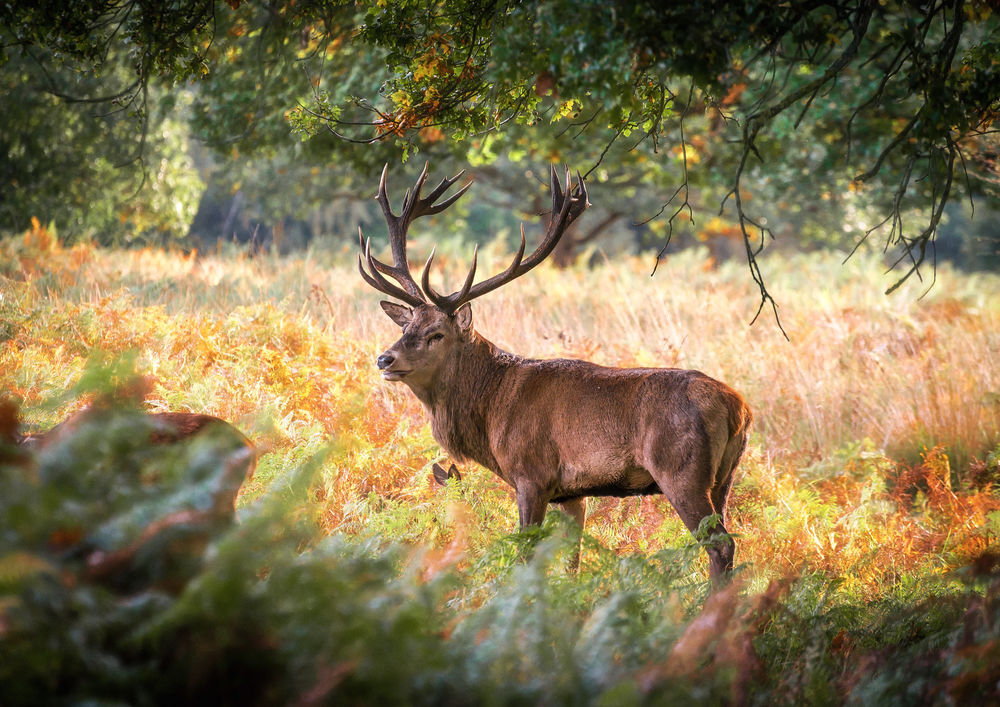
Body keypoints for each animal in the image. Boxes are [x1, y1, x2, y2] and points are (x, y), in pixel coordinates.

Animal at [358, 163, 752, 582]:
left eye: (437, 333)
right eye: (406, 327)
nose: (385, 359)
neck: (490, 412)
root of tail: (740, 409)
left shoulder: (531, 474)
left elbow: (525, 554)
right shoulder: (571, 493)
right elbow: (571, 562)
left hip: (682, 471)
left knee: (722, 545)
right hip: (724, 477)